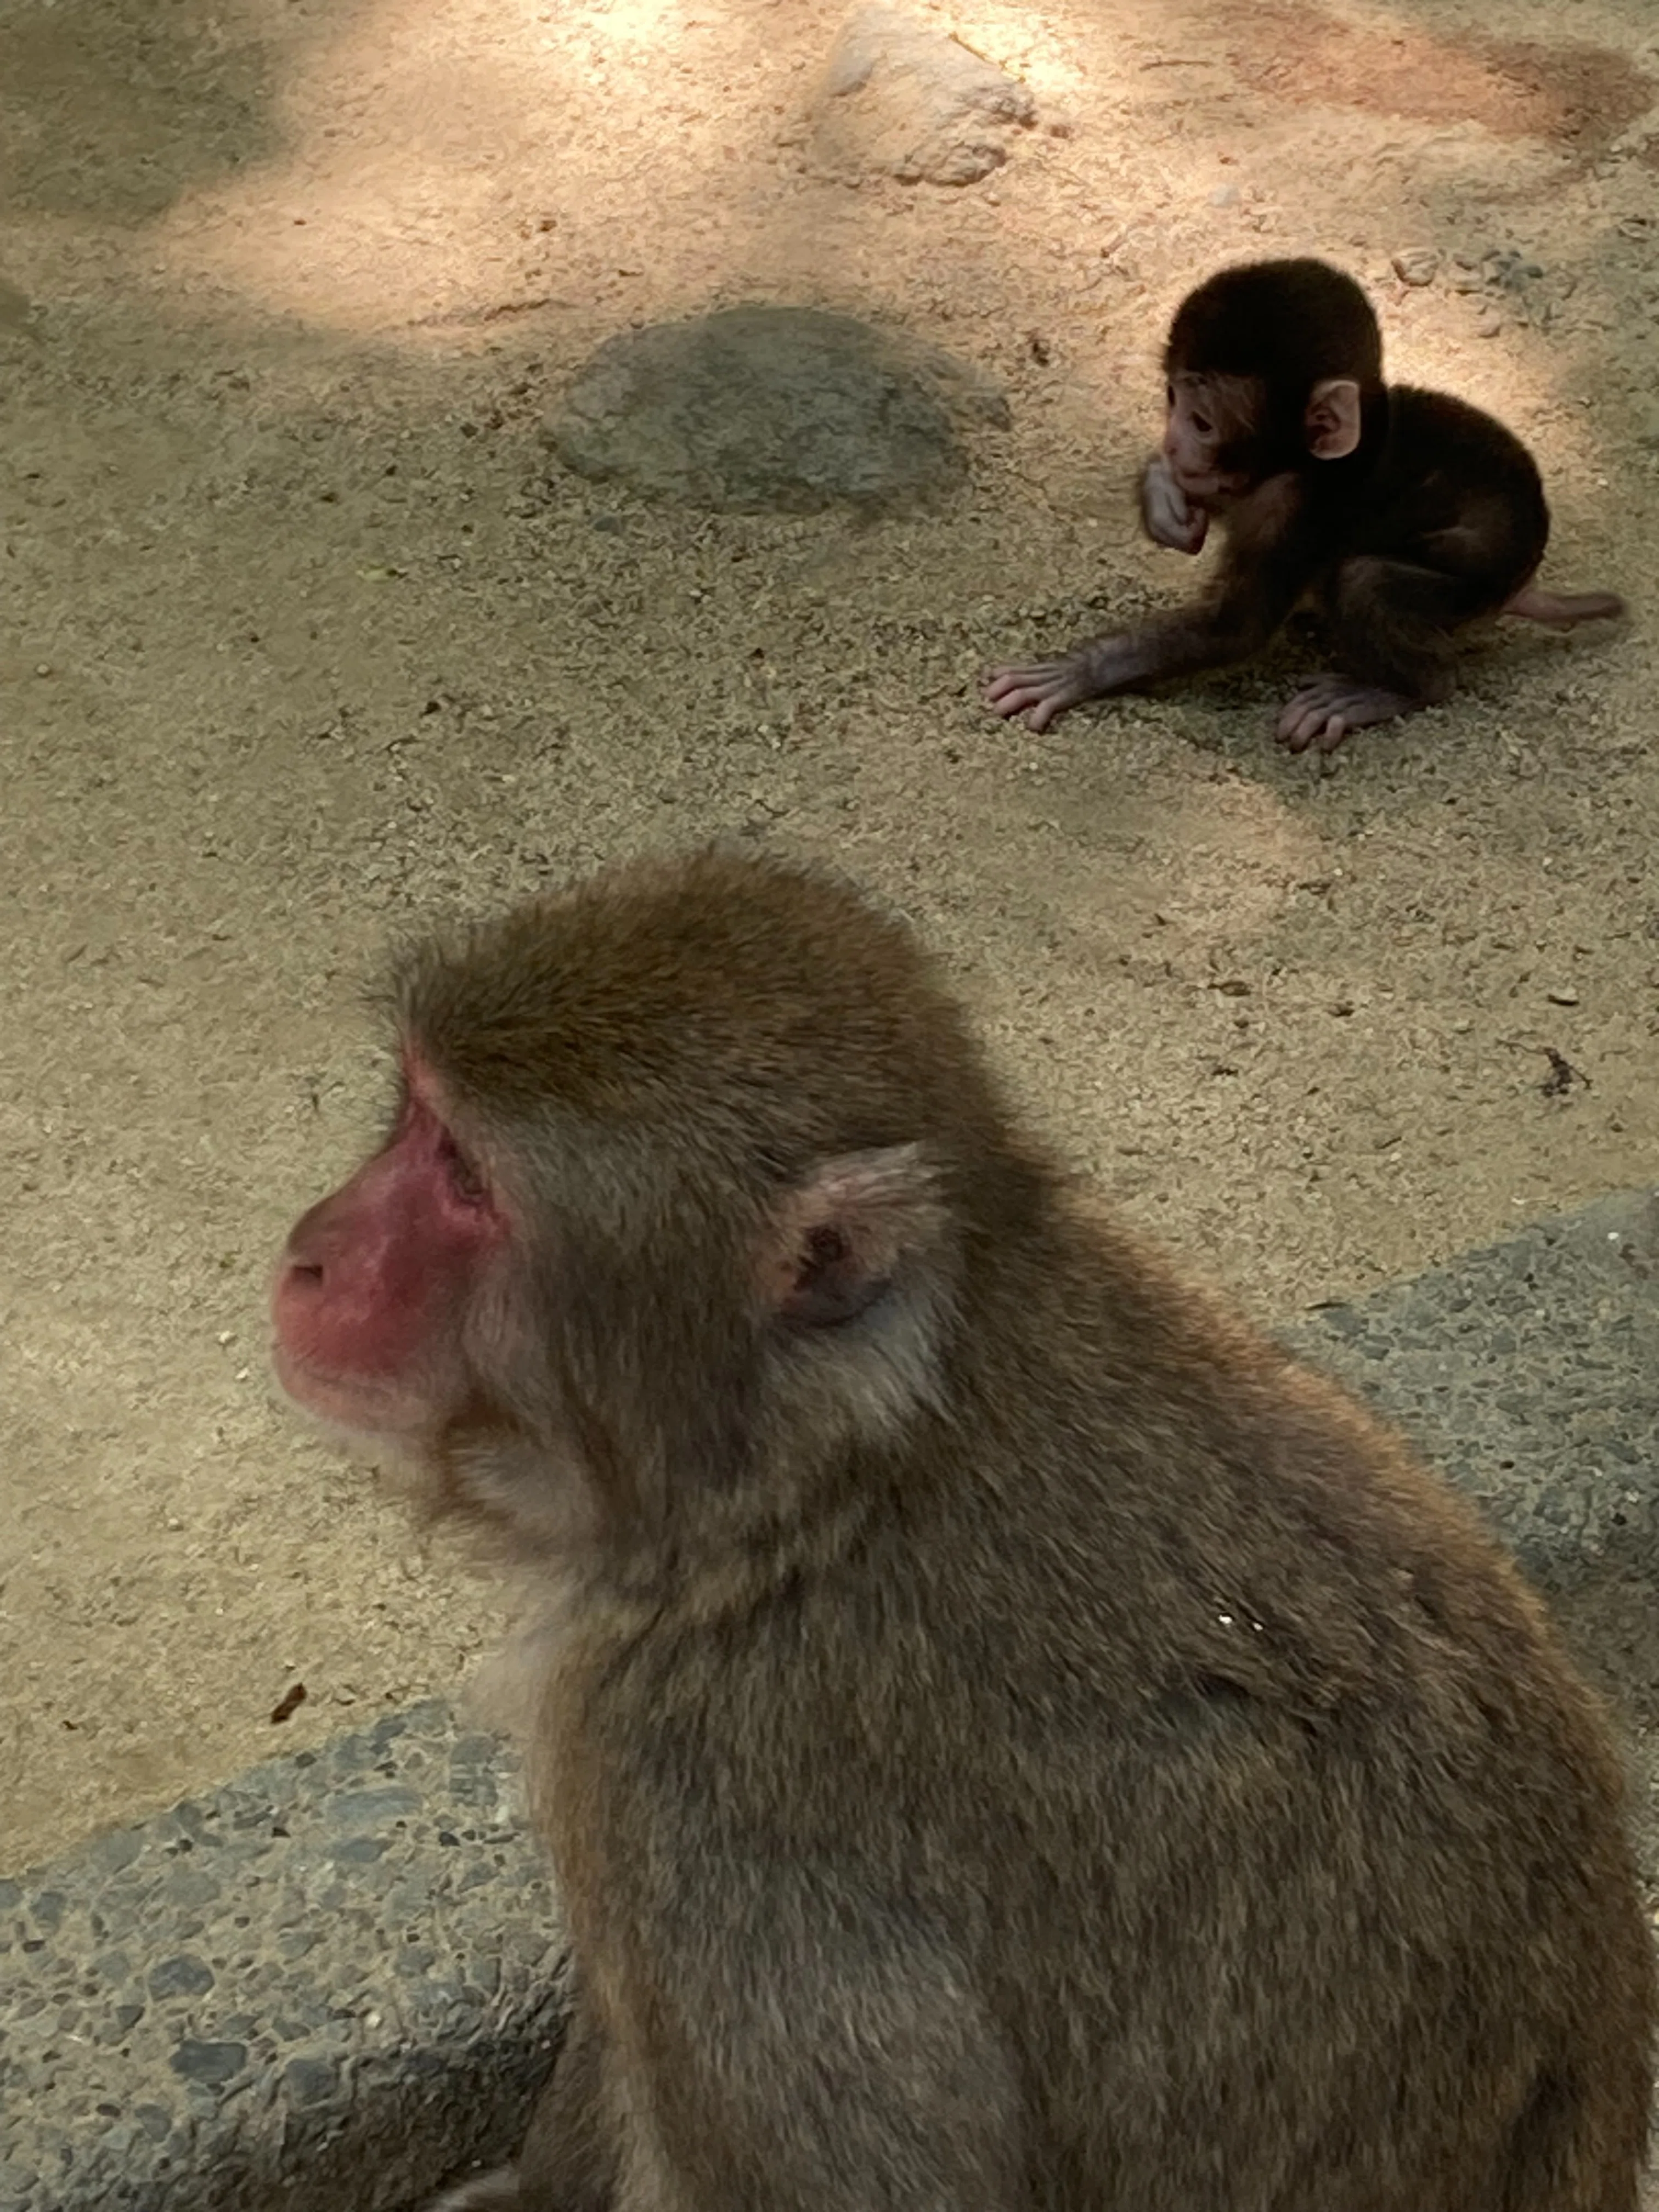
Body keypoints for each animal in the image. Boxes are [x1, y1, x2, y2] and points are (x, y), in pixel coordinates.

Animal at [984, 258, 1624, 752]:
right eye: (1170, 400)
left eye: (1202, 422)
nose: (1173, 442)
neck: (1313, 460)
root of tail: (1524, 581)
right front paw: (1165, 496)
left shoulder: (1296, 506)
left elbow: (1234, 628)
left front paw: (1080, 671)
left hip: (1476, 588)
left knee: (1366, 581)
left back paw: (1399, 689)